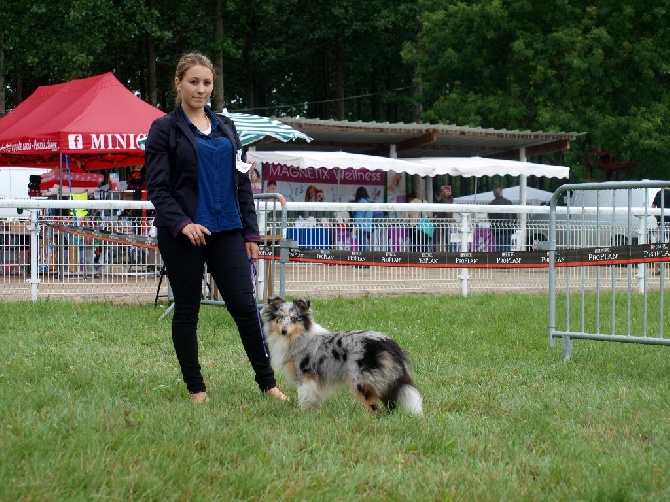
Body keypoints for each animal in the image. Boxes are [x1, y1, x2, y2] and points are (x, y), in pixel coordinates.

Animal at [260, 296, 422, 414]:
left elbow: (305, 397)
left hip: (363, 380)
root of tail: (388, 342)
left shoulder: (305, 375)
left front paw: (304, 413)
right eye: (280, 317)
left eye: (294, 318)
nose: (284, 331)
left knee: (375, 406)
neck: (300, 337)